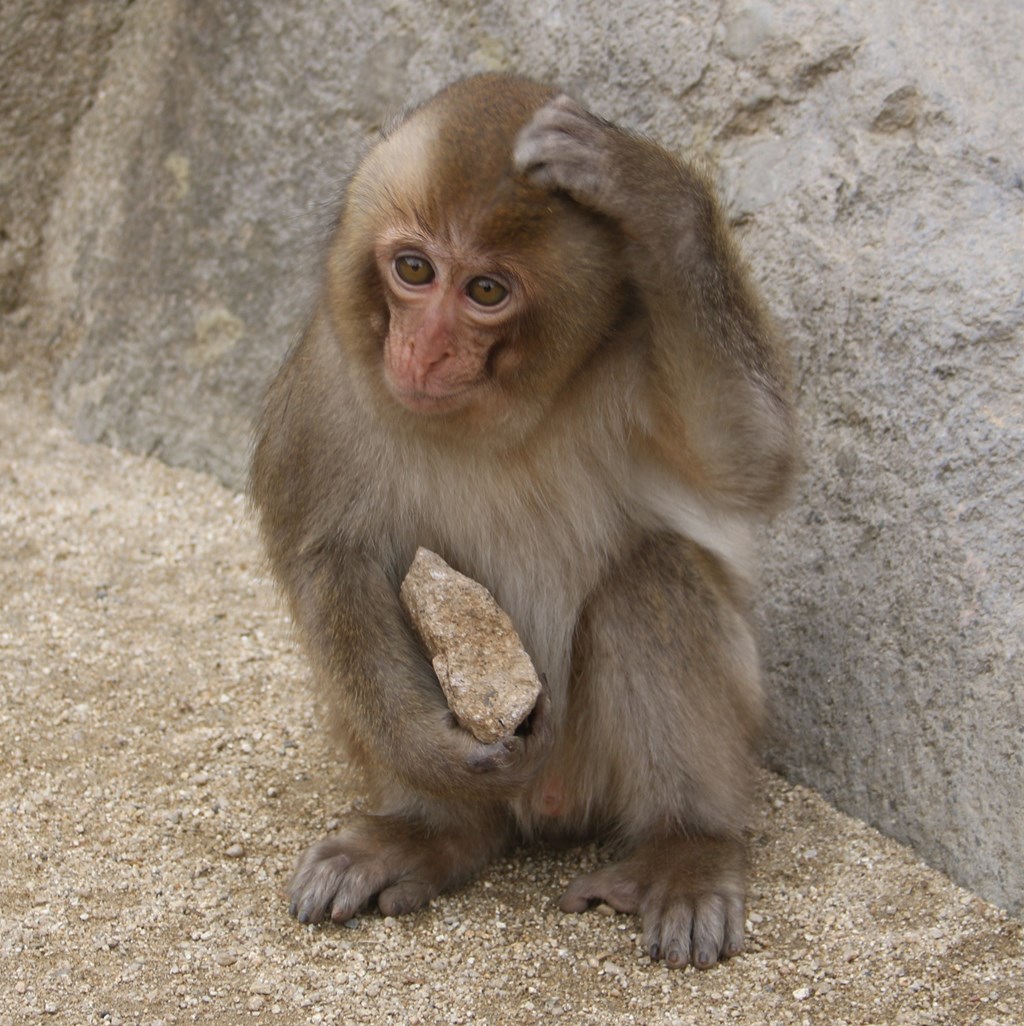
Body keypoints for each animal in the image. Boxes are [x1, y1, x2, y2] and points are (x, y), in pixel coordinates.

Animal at [252, 74, 796, 968]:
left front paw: (647, 187)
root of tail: (545, 801)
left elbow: (751, 461)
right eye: (413, 269)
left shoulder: (637, 364)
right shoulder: (326, 384)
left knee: (650, 573)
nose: (424, 350)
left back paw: (687, 847)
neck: (486, 417)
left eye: (485, 291)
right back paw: (432, 833)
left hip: (596, 761)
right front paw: (436, 750)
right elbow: (330, 561)